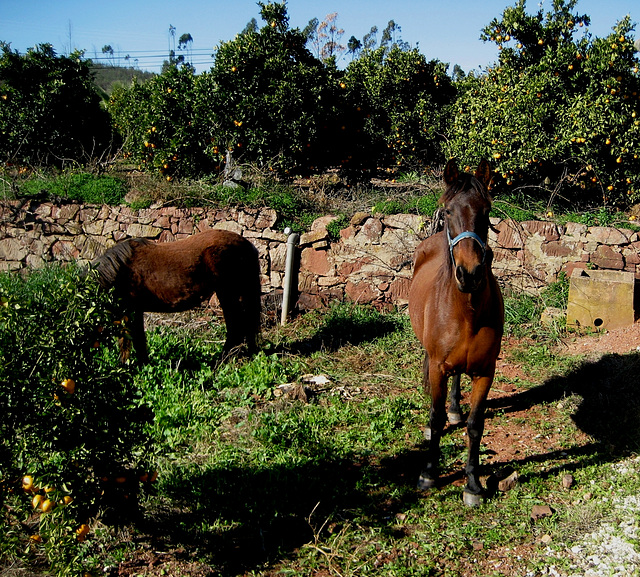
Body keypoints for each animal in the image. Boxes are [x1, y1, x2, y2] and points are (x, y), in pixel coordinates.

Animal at [91, 228, 262, 360]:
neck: (121, 271)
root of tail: (248, 245)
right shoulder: (134, 312)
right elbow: (134, 340)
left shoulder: (130, 311)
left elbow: (130, 341)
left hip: (227, 293)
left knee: (235, 326)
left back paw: (222, 359)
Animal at [410, 159, 504, 504]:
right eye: (448, 210)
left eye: (486, 211)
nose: (470, 273)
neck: (466, 312)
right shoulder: (437, 366)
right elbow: (435, 418)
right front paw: (428, 472)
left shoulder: (485, 372)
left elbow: (476, 425)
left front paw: (473, 484)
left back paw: (455, 409)